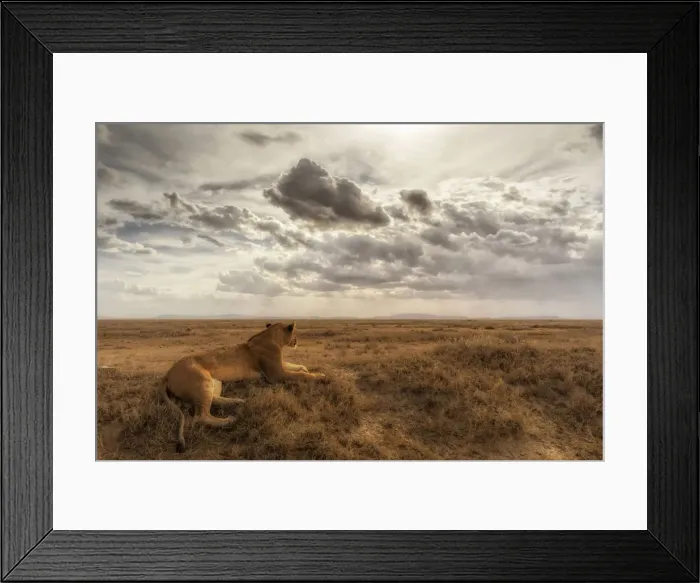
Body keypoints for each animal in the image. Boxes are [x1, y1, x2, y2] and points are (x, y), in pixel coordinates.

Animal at [159, 321, 325, 452]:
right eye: (295, 333)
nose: (297, 341)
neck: (273, 338)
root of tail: (167, 373)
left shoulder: (280, 367)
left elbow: (296, 366)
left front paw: (306, 369)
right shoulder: (276, 374)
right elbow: (300, 375)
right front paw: (320, 376)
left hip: (214, 382)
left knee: (215, 399)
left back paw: (239, 401)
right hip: (202, 380)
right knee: (200, 417)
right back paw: (231, 420)